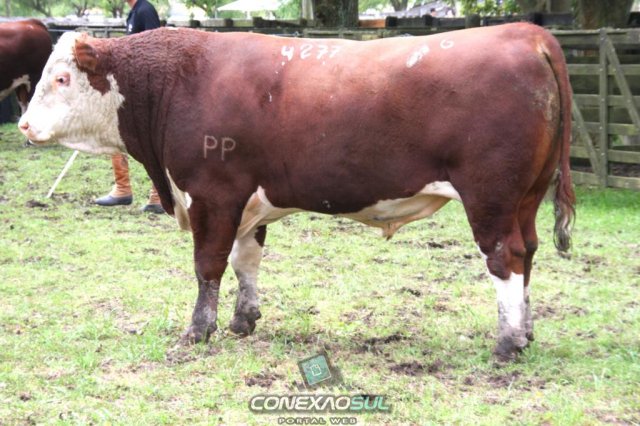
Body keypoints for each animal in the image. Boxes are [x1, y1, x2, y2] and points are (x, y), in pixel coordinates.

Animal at [19, 23, 576, 361]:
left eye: (62, 78)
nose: (23, 124)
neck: (176, 80)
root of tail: (525, 32)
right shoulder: (247, 201)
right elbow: (245, 261)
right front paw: (244, 320)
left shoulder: (212, 194)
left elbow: (208, 265)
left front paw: (199, 330)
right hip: (526, 198)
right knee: (529, 252)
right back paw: (526, 332)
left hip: (490, 197)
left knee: (505, 257)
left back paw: (507, 342)